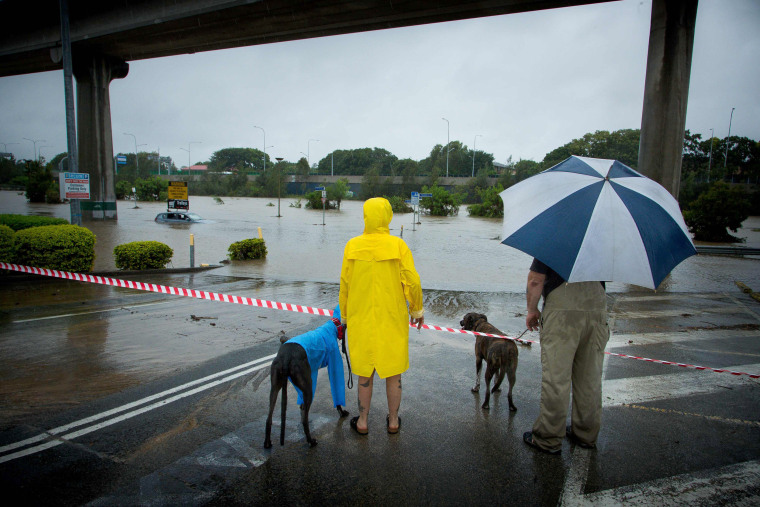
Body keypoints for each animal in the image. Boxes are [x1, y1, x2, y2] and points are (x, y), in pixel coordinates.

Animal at [264, 308, 350, 450]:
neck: (332, 326)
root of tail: (287, 356)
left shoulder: (312, 373)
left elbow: (302, 406)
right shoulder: (334, 364)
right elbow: (337, 393)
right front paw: (341, 412)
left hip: (276, 387)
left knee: (269, 417)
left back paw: (267, 442)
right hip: (308, 389)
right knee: (304, 420)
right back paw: (310, 441)